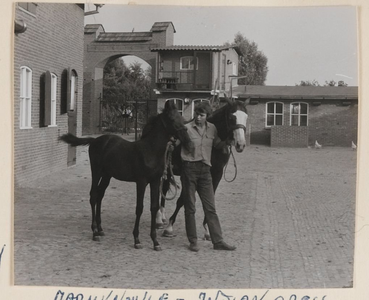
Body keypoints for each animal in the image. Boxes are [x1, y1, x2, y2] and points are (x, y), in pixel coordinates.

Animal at [59, 101, 191, 251]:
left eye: (182, 118)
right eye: (172, 119)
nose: (187, 139)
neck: (150, 150)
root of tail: (95, 141)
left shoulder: (155, 181)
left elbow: (154, 207)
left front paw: (155, 242)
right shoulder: (141, 182)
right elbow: (139, 208)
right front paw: (137, 240)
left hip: (107, 175)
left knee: (100, 195)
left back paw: (100, 229)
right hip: (96, 172)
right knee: (93, 195)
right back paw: (94, 232)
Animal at [158, 99, 247, 239]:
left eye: (246, 117)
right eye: (231, 117)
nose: (240, 144)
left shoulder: (216, 174)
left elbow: (210, 198)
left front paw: (207, 230)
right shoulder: (187, 175)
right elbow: (182, 199)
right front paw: (169, 228)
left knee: (165, 188)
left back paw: (162, 218)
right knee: (162, 189)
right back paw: (159, 220)